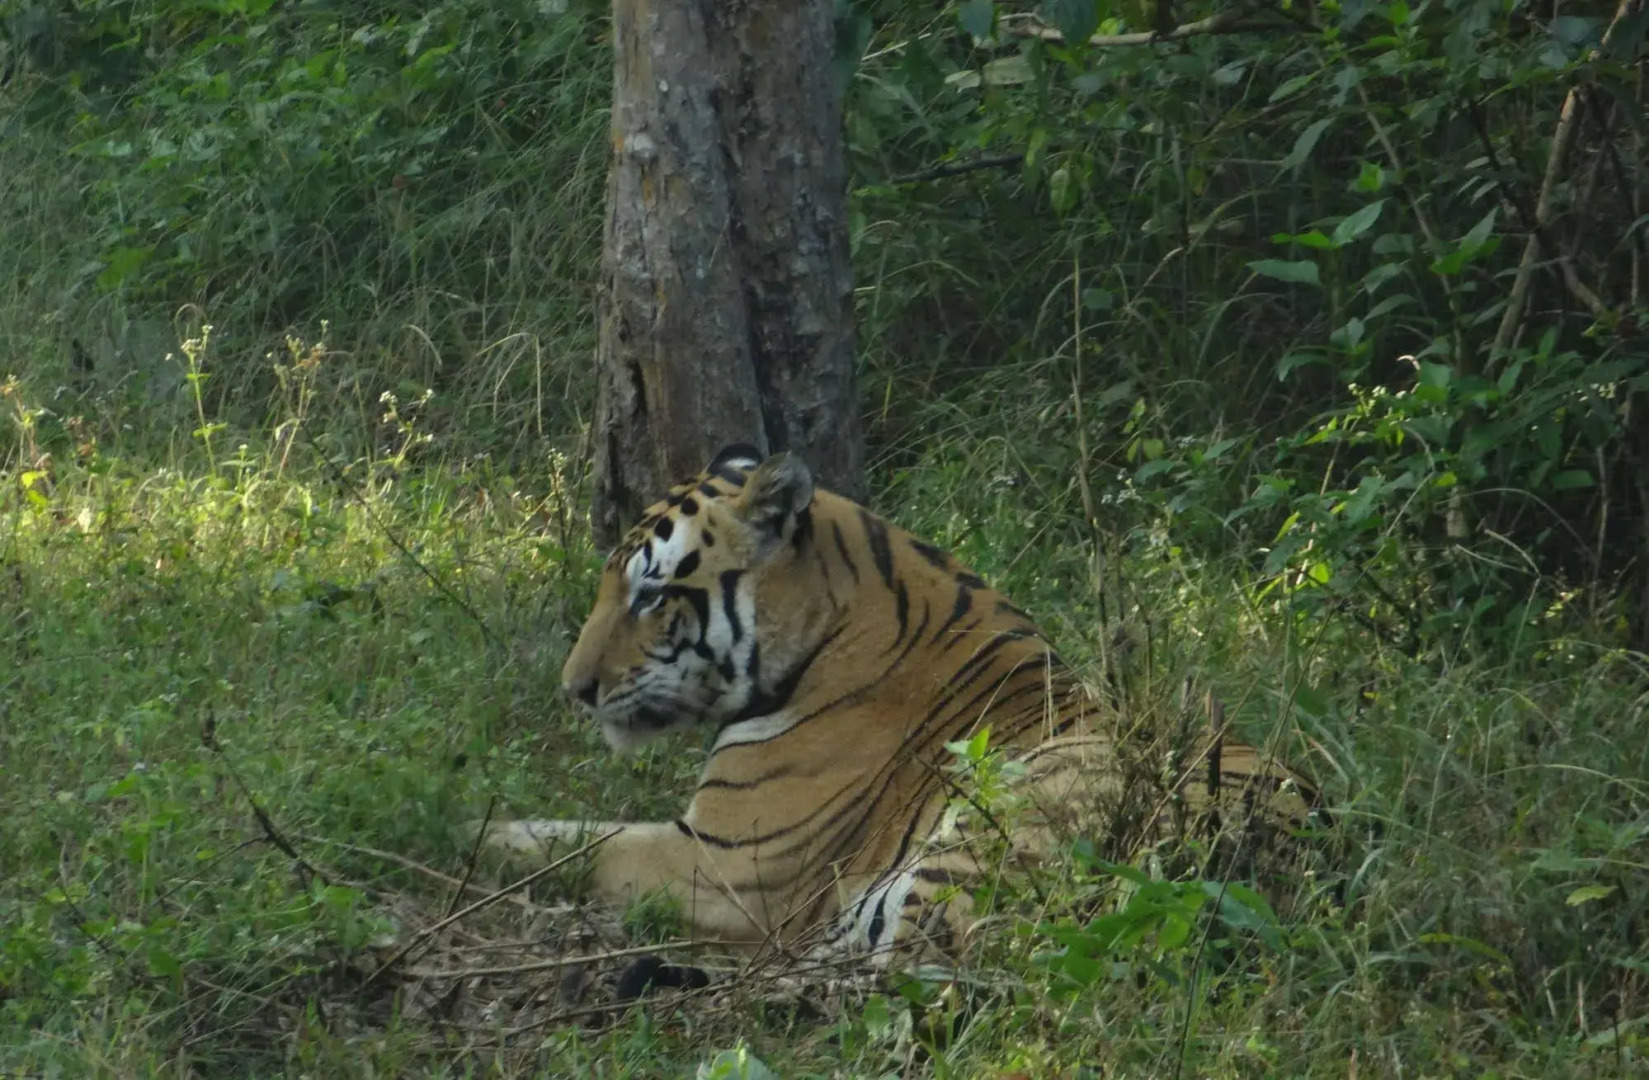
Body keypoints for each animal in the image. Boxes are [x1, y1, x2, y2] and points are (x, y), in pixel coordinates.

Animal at [473, 444, 1319, 976]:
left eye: (650, 596)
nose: (572, 689)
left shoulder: (727, 867)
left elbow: (567, 845)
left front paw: (454, 830)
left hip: (998, 823)